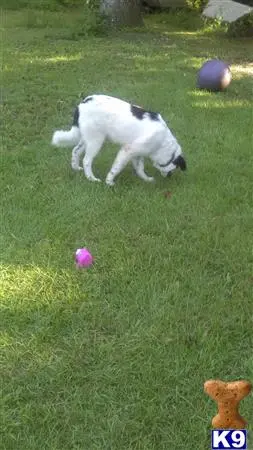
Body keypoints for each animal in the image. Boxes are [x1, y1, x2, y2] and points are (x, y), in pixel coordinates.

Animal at [52, 94, 186, 185]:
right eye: (173, 169)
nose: (169, 177)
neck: (163, 143)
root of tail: (82, 103)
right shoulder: (127, 150)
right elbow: (116, 168)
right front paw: (109, 181)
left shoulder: (138, 153)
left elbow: (140, 169)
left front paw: (146, 179)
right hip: (96, 141)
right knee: (86, 160)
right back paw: (92, 178)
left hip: (87, 139)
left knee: (75, 150)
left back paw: (76, 168)